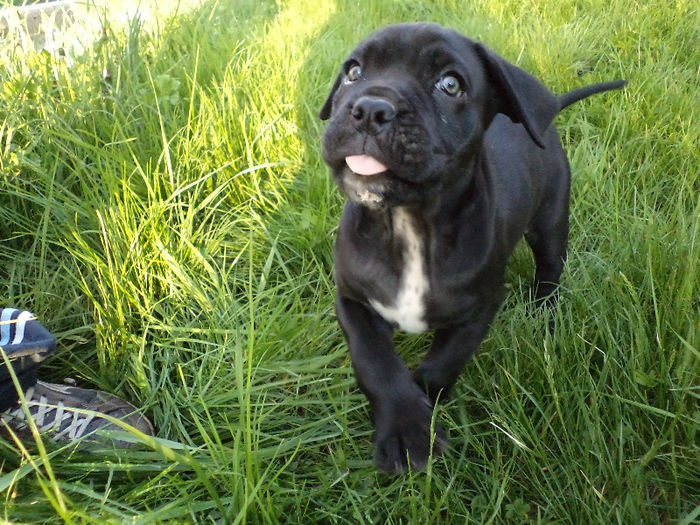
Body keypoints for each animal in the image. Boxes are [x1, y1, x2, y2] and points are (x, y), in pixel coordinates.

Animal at [320, 22, 628, 472]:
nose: (370, 108)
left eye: (450, 84)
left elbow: (442, 364)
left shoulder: (480, 308)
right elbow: (374, 361)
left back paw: (545, 315)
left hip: (551, 222)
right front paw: (404, 423)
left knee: (549, 270)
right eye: (353, 72)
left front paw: (421, 411)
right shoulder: (352, 300)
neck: (409, 223)